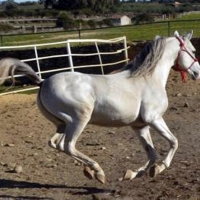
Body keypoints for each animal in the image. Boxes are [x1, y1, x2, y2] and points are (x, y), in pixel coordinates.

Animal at [0, 30, 200, 184]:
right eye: (192, 50)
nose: (197, 73)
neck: (148, 79)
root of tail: (43, 82)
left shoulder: (140, 126)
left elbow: (151, 154)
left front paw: (134, 174)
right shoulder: (154, 119)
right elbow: (174, 142)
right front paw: (160, 168)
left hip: (62, 124)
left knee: (55, 143)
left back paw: (90, 171)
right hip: (79, 119)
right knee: (68, 145)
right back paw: (98, 172)